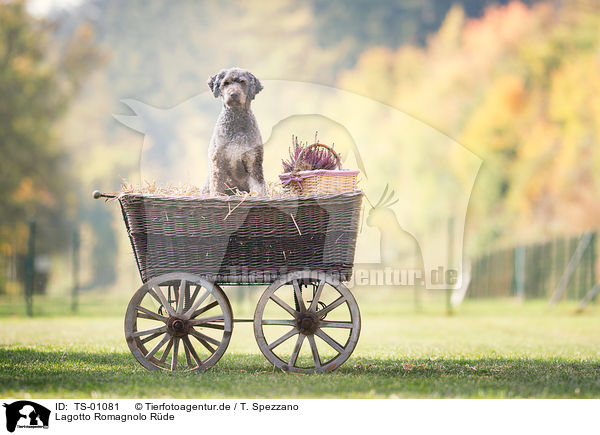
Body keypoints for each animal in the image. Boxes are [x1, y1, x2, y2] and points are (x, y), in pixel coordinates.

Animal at [203, 67, 266, 196]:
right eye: (225, 83)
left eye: (242, 82)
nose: (233, 94)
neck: (237, 118)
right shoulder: (219, 162)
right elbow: (217, 186)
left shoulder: (253, 161)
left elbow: (258, 186)